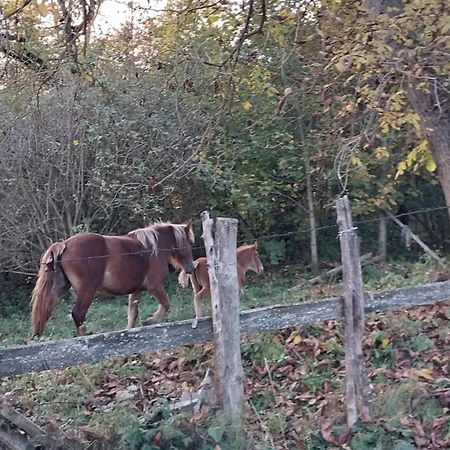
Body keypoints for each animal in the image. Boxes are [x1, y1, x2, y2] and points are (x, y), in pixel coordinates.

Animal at [29, 221, 195, 338]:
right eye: (187, 242)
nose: (191, 268)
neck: (153, 247)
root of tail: (64, 244)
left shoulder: (136, 291)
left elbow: (132, 315)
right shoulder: (155, 286)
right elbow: (166, 304)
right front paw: (151, 320)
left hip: (58, 289)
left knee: (45, 311)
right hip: (87, 291)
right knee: (78, 314)